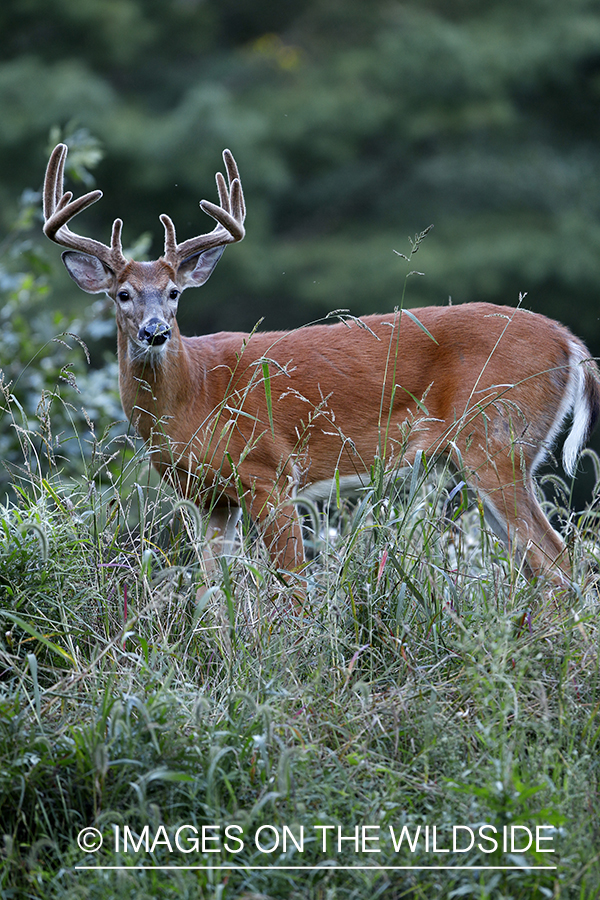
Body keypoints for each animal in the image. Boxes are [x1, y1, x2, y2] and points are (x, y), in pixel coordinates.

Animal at [43, 142, 600, 592]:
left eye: (175, 292)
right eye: (123, 294)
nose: (155, 331)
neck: (195, 396)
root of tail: (571, 343)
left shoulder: (269, 472)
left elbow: (294, 586)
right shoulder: (209, 499)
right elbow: (212, 592)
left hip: (497, 436)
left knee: (558, 564)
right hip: (481, 453)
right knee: (540, 565)